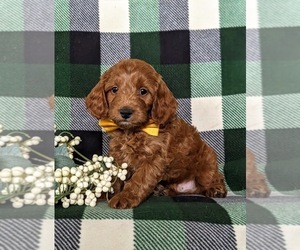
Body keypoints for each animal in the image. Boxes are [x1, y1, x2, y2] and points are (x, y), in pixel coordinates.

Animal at [85, 59, 226, 209]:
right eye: (114, 89)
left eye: (143, 91)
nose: (125, 112)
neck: (133, 131)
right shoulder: (118, 154)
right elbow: (114, 177)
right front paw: (103, 193)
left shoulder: (154, 157)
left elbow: (140, 179)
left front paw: (125, 197)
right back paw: (162, 190)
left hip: (206, 162)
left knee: (214, 177)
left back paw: (216, 189)